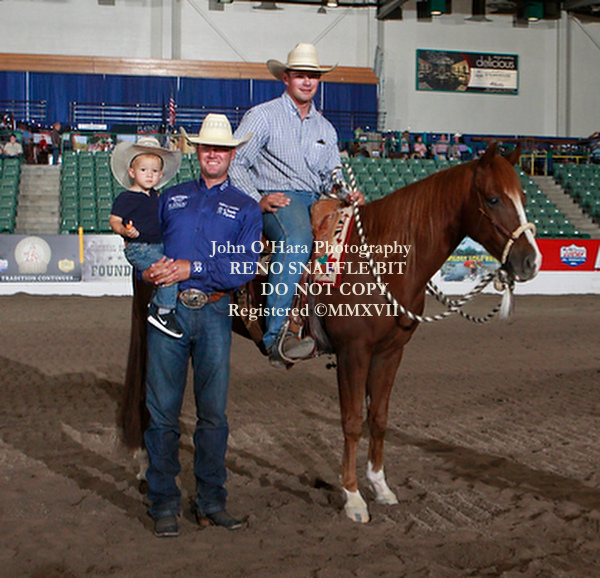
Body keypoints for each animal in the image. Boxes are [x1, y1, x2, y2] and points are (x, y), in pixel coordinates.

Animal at [119, 143, 541, 523]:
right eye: (493, 198)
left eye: (522, 196)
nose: (530, 261)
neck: (382, 259)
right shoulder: (354, 352)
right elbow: (352, 421)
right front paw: (353, 498)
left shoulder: (391, 352)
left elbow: (379, 418)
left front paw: (380, 486)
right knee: (145, 396)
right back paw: (143, 467)